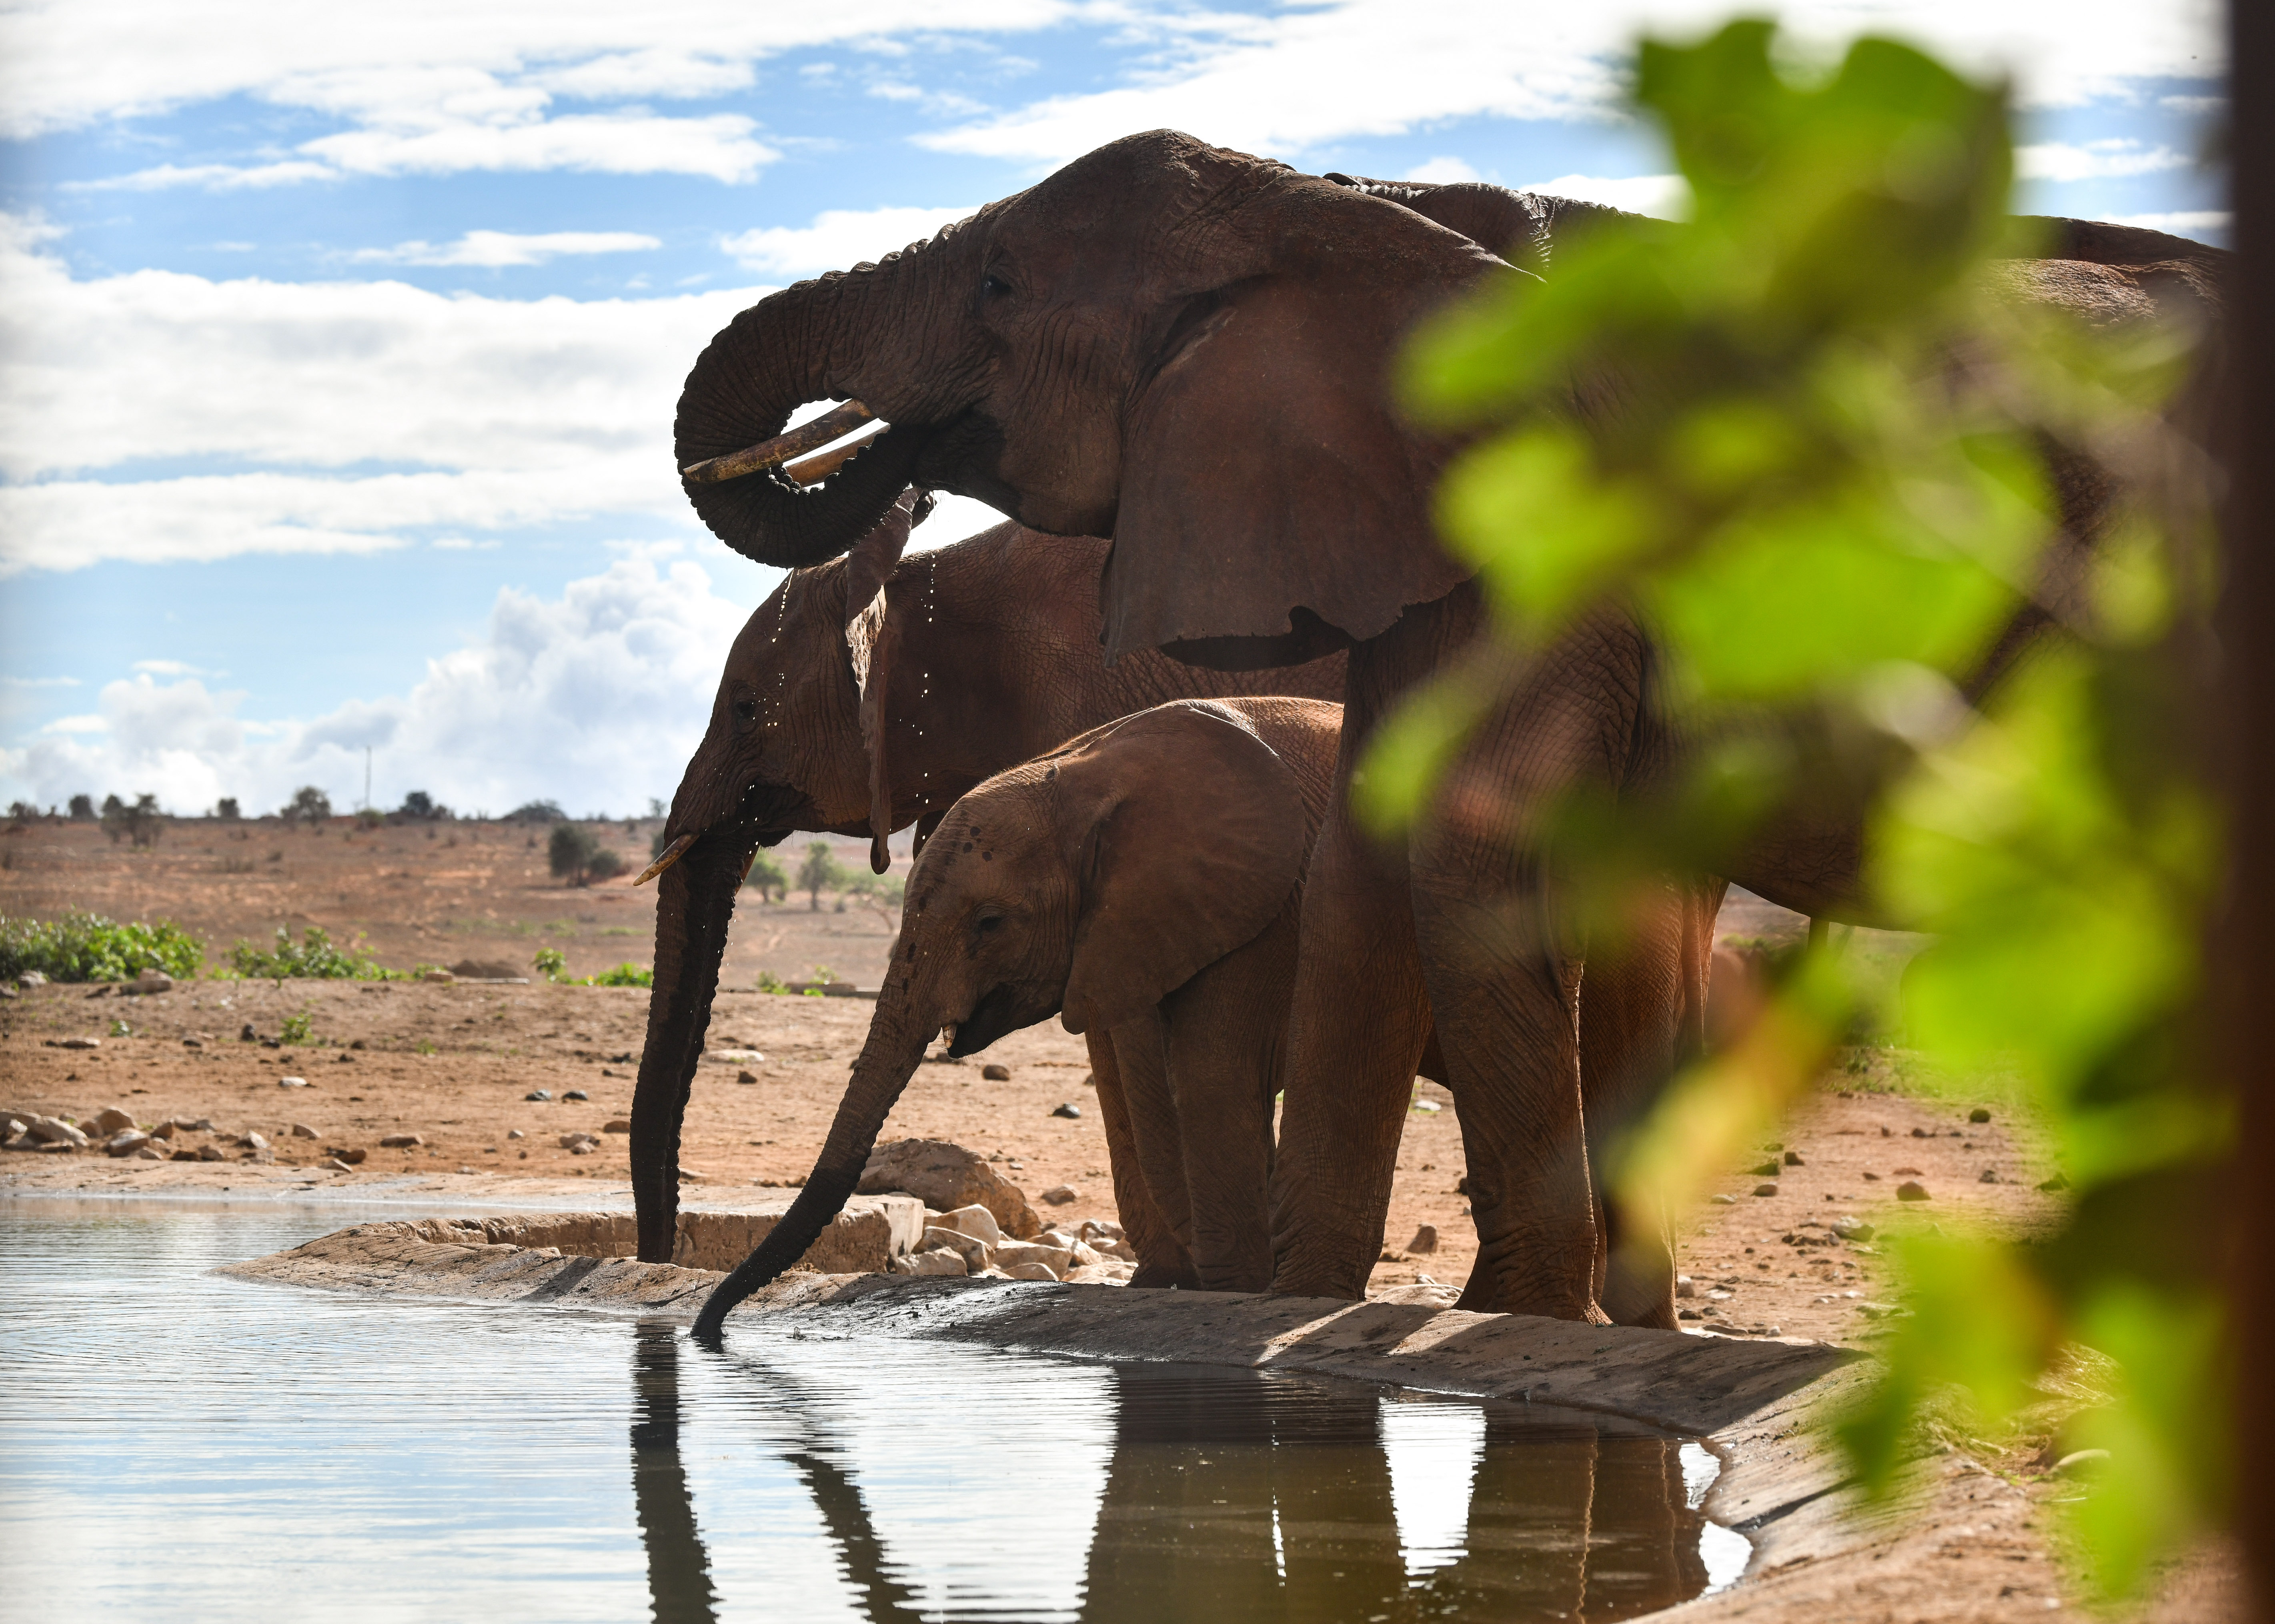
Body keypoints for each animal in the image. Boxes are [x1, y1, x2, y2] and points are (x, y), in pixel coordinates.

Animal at [691, 691, 1328, 1337]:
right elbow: (1152, 1084)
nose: (708, 1330)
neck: (1087, 774)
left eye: (990, 923)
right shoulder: (1148, 929)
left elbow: (1209, 1077)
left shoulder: (1259, 914)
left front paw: (1237, 1294)